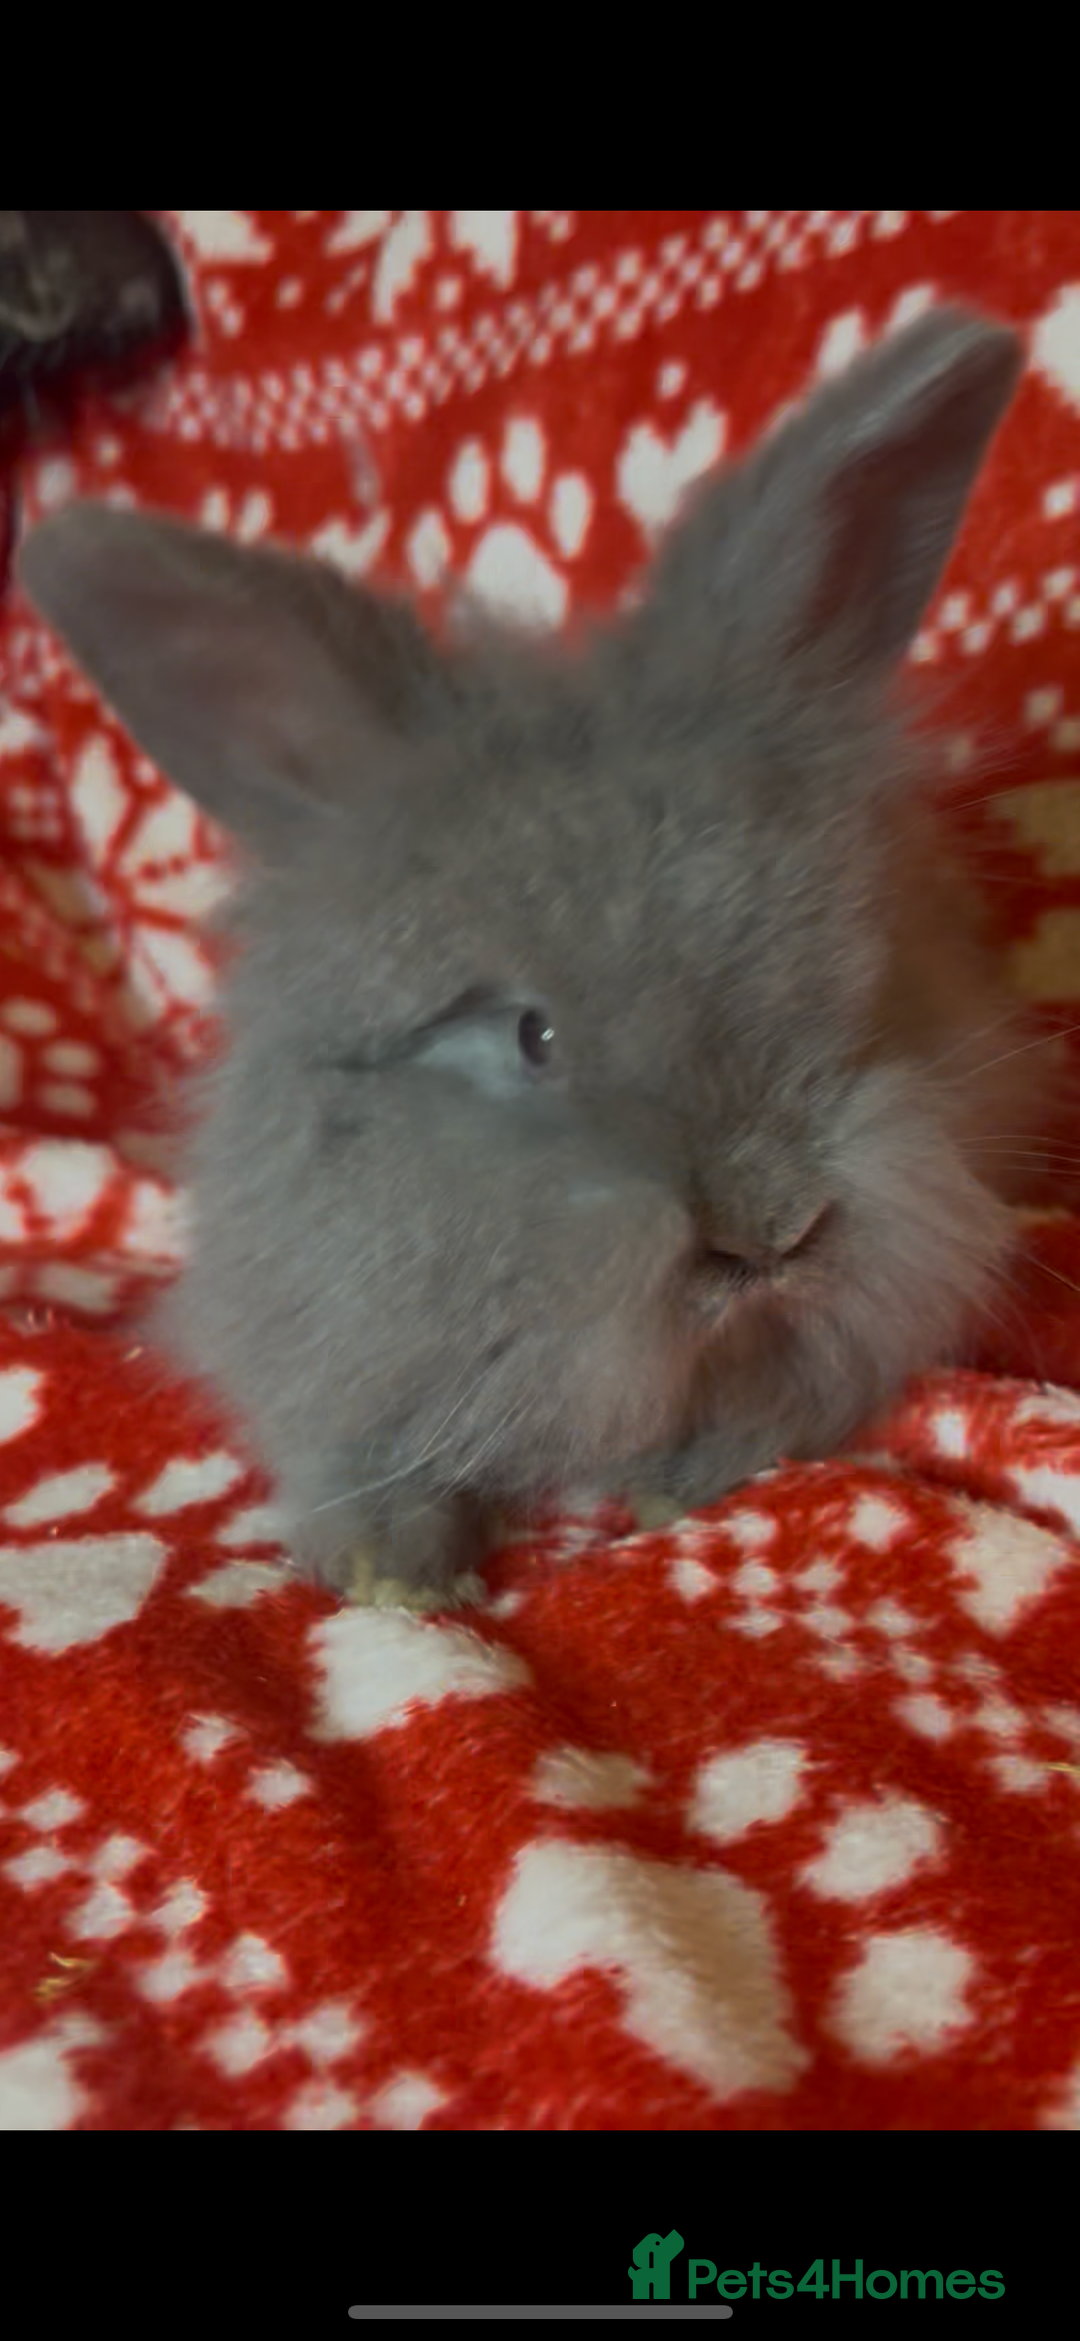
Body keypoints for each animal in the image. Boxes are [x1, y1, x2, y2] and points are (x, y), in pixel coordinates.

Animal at [19, 304, 1045, 1607]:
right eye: (531, 1035)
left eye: (857, 969)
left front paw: (679, 1485)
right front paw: (391, 1569)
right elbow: (348, 1446)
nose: (772, 1231)